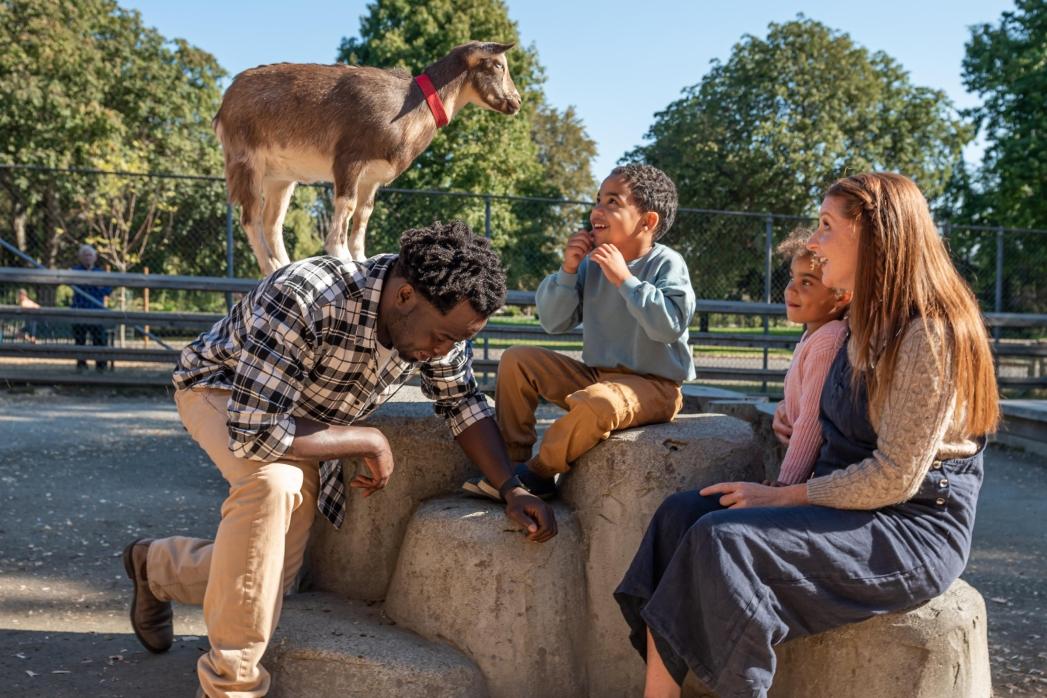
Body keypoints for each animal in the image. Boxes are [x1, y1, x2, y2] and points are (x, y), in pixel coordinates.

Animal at [213, 40, 523, 276]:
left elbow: (364, 214)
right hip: (246, 161)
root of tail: (223, 108)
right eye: (499, 65)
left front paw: (361, 258)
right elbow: (347, 206)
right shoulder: (348, 160)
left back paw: (285, 265)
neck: (412, 104)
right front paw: (341, 256)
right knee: (250, 218)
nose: (517, 101)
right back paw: (272, 266)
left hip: (281, 177)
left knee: (272, 222)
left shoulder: (372, 177)